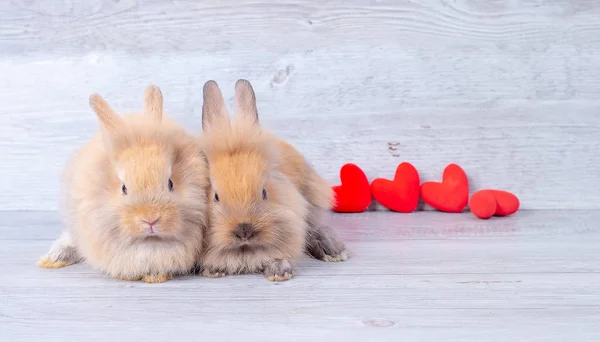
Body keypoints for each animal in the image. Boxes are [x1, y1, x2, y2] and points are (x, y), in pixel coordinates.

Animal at [197, 79, 346, 282]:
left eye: (264, 192)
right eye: (216, 197)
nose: (244, 230)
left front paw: (279, 271)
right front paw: (213, 270)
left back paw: (333, 249)